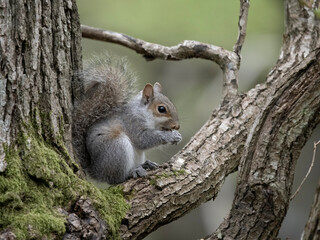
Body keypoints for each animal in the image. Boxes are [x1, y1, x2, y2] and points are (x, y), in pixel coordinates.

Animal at [73, 54, 182, 185]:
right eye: (161, 109)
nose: (177, 126)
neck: (142, 113)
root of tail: (97, 171)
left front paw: (177, 136)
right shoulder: (132, 123)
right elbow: (143, 140)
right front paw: (171, 136)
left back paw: (145, 164)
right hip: (117, 147)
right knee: (116, 179)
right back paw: (131, 172)